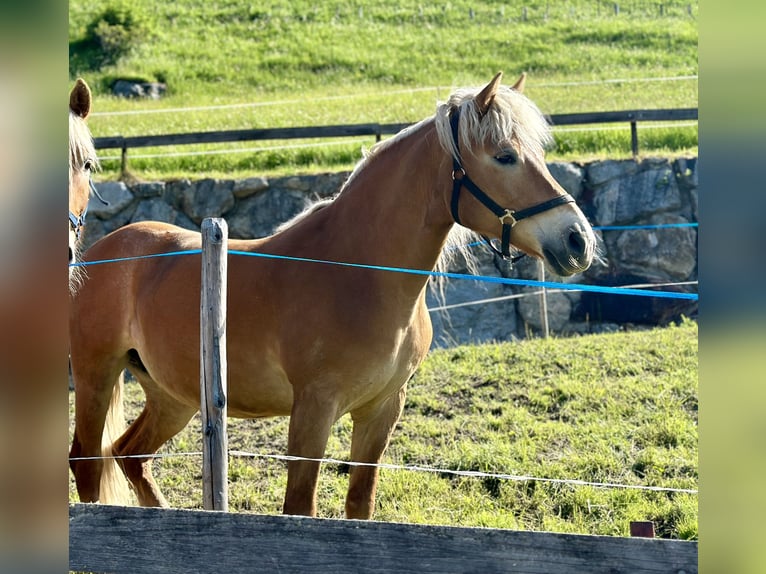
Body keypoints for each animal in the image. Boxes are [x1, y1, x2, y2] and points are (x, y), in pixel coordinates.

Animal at [70, 74, 600, 520]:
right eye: (505, 155)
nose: (577, 240)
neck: (358, 273)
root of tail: (98, 252)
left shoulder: (383, 409)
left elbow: (359, 505)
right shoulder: (314, 409)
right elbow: (299, 507)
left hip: (172, 394)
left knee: (129, 455)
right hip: (98, 376)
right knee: (87, 462)